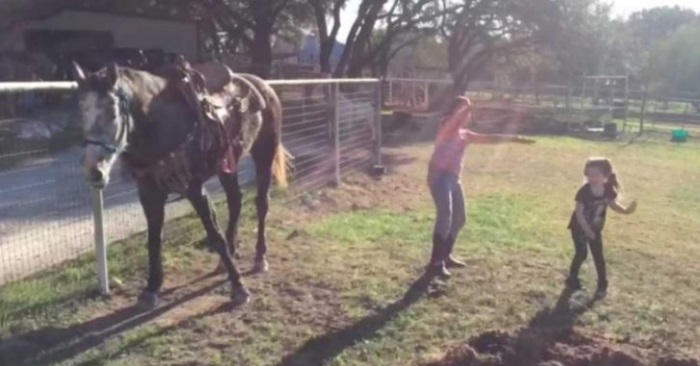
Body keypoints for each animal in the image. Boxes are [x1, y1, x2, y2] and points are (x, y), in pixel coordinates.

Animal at [71, 61, 290, 308]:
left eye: (112, 112)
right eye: (82, 111)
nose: (93, 171)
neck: (162, 126)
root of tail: (262, 85)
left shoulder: (194, 189)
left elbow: (215, 236)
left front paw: (239, 287)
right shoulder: (149, 194)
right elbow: (154, 240)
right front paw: (151, 288)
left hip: (265, 154)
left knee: (262, 203)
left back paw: (260, 257)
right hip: (228, 166)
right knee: (235, 200)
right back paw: (227, 260)